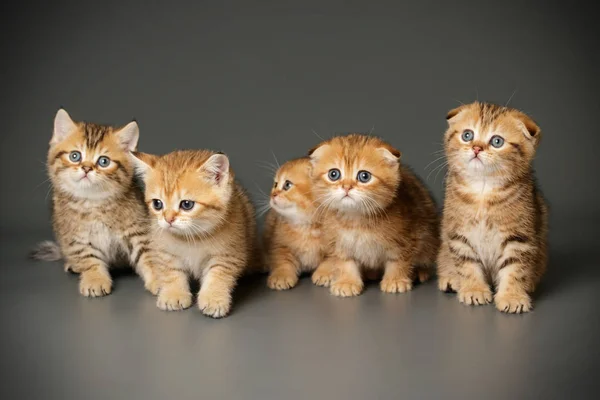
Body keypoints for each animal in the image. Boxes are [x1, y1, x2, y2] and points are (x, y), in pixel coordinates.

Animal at [30, 109, 164, 296]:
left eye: (103, 161)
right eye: (75, 156)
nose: (86, 168)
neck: (94, 203)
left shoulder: (138, 232)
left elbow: (150, 255)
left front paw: (162, 280)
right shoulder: (76, 237)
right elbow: (88, 259)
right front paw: (95, 279)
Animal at [132, 148, 258, 318]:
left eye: (187, 204)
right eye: (157, 204)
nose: (168, 219)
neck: (192, 238)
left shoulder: (228, 254)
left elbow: (217, 276)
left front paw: (213, 298)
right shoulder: (164, 250)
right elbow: (171, 272)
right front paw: (173, 294)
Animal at [264, 157, 326, 290]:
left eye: (287, 184)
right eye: (275, 184)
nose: (273, 195)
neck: (305, 226)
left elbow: (331, 261)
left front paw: (324, 273)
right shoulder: (279, 243)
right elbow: (282, 261)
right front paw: (281, 276)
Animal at [308, 133, 438, 296]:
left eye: (364, 176)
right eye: (334, 174)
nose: (347, 187)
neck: (357, 220)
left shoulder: (406, 237)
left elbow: (398, 260)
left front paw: (395, 280)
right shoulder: (339, 242)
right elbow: (344, 261)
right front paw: (347, 281)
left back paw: (420, 272)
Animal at [436, 101, 548, 314]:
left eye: (497, 141)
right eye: (467, 135)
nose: (476, 148)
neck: (483, 189)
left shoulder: (519, 237)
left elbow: (514, 268)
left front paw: (512, 296)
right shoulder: (459, 233)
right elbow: (467, 264)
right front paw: (474, 289)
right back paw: (451, 278)